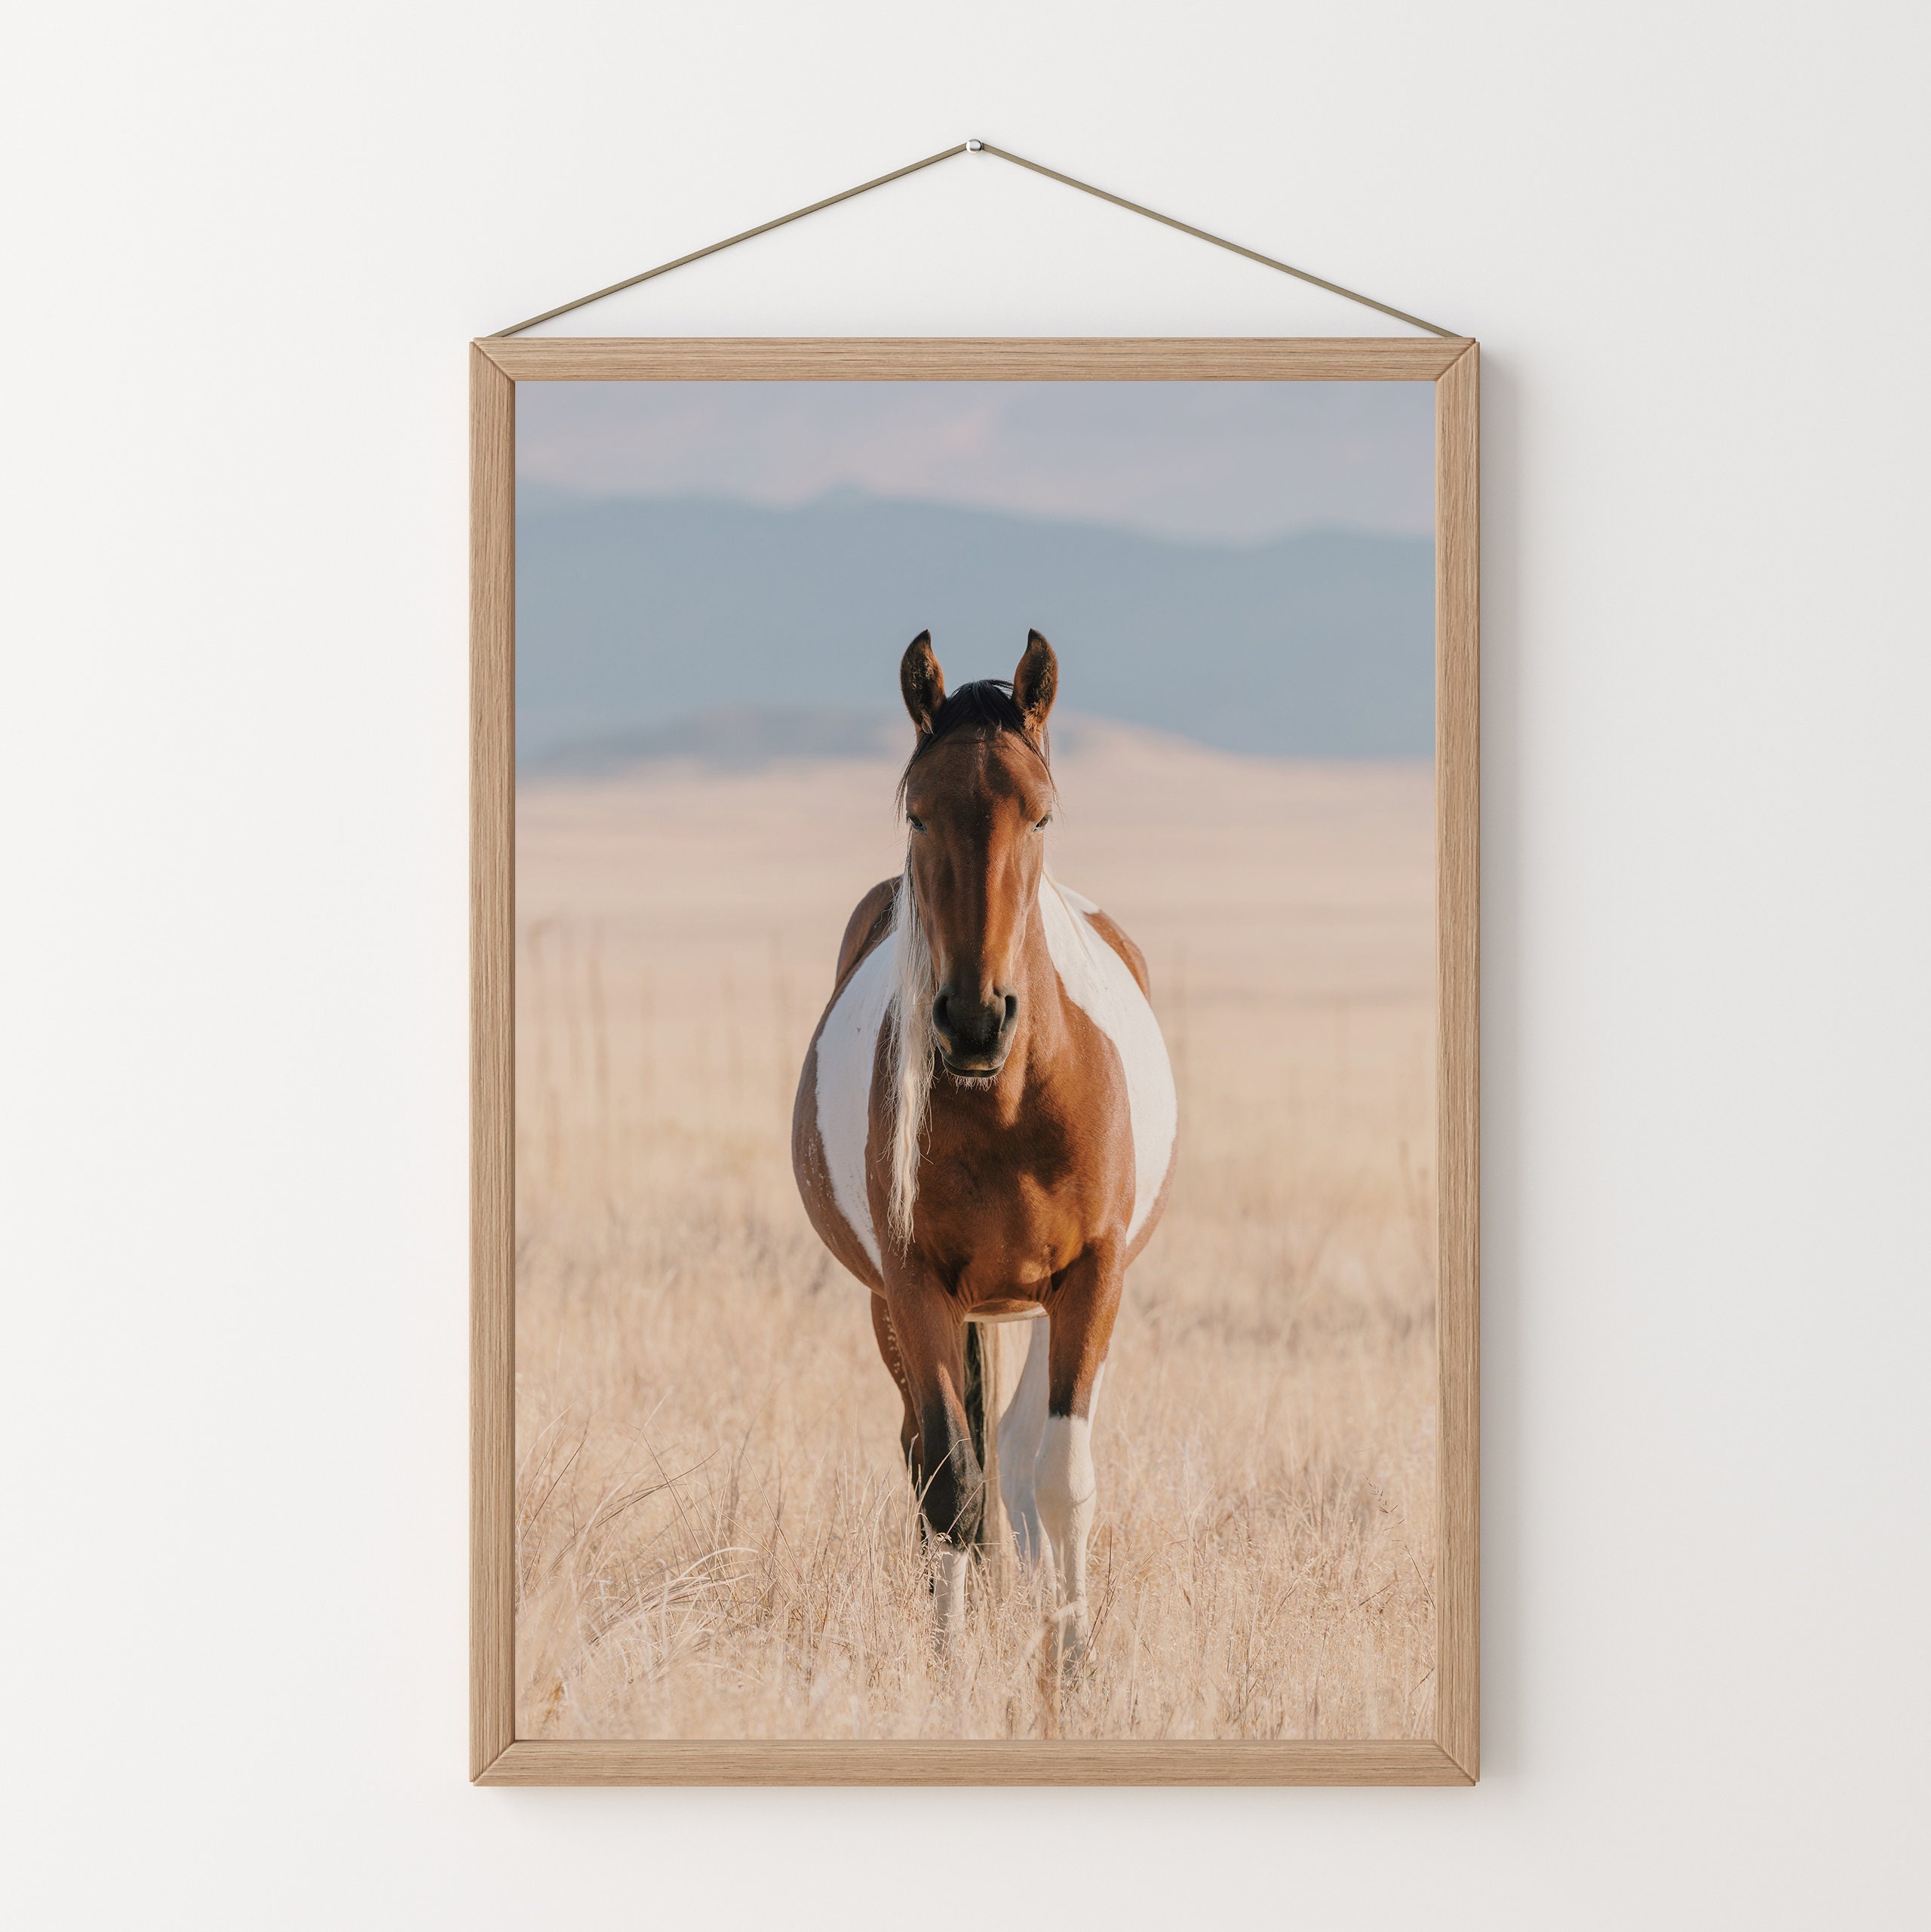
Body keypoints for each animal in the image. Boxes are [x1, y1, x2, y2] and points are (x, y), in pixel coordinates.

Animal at [790, 628, 1177, 1661]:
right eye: (918, 812)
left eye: (1039, 814)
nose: (972, 1020)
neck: (1007, 1104)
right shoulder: (915, 1283)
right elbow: (949, 1484)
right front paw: (949, 1664)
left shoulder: (1091, 1278)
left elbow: (1059, 1478)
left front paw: (1072, 1663)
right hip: (900, 1304)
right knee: (939, 1457)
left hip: (1034, 1304)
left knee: (1014, 1449)